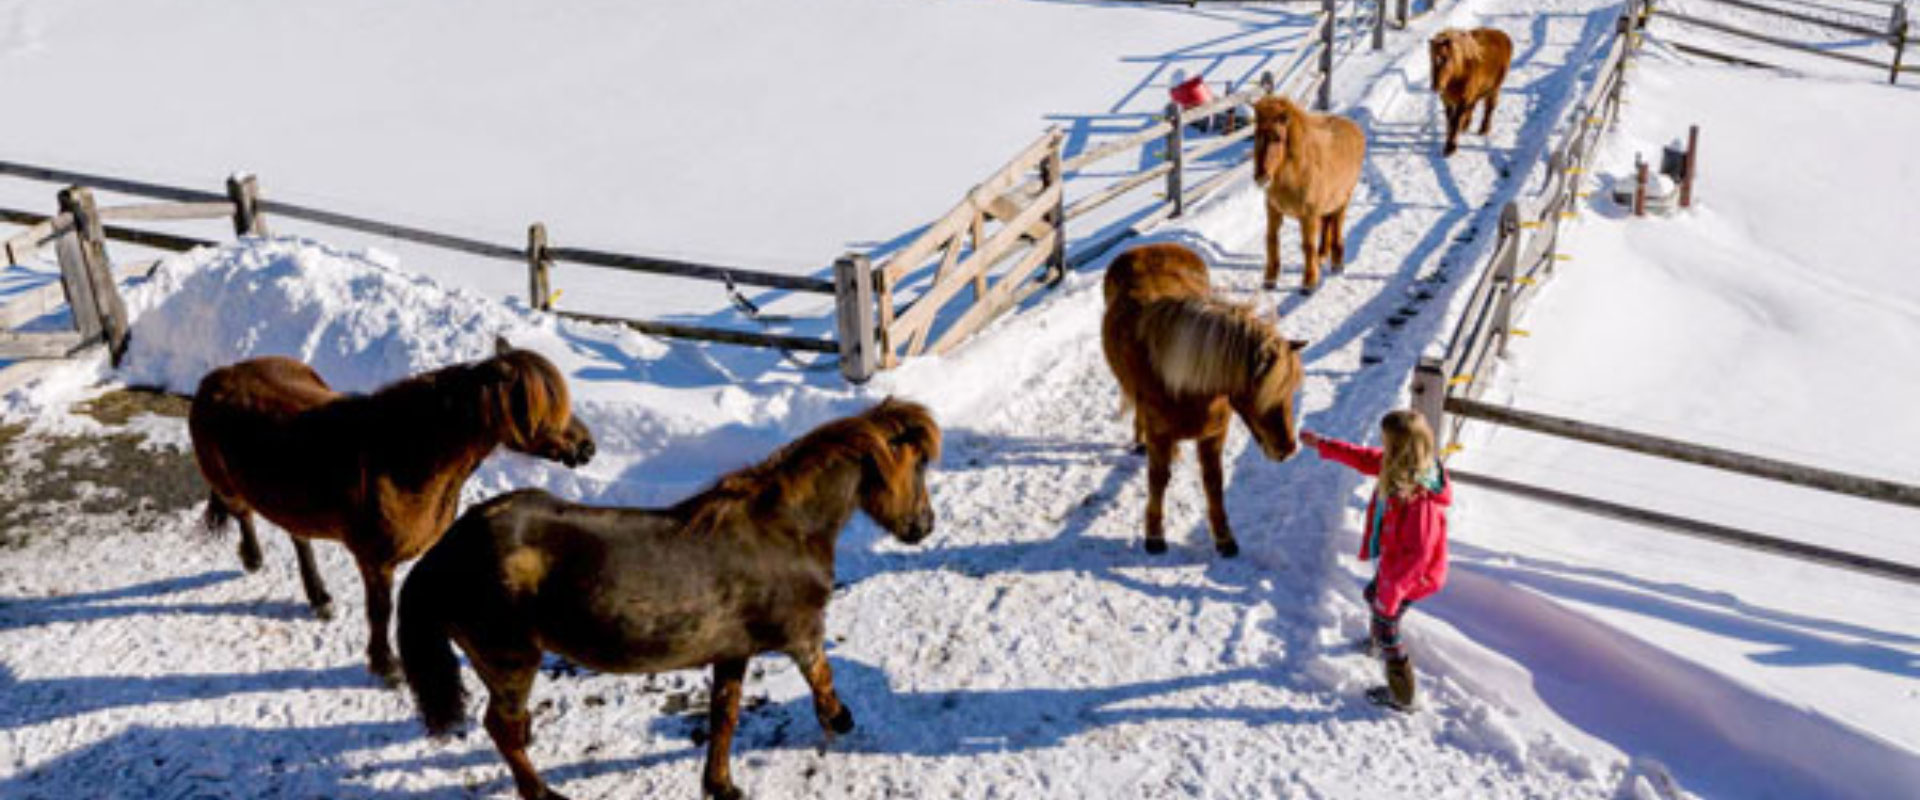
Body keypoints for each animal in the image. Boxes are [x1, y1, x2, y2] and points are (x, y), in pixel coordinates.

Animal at [188, 336, 595, 684]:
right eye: (543, 408)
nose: (587, 447)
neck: (401, 455)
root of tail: (220, 374)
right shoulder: (375, 560)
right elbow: (380, 611)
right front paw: (387, 666)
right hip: (231, 486)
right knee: (244, 513)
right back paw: (254, 558)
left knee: (297, 535)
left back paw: (318, 597)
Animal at [397, 398, 940, 800]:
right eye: (916, 466)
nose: (924, 527)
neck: (786, 529)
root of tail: (445, 552)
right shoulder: (802, 635)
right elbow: (822, 680)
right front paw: (839, 720)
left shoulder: (733, 653)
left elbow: (724, 717)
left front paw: (721, 785)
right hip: (511, 661)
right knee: (500, 727)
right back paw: (544, 793)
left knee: (508, 730)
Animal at [1101, 243, 1307, 557]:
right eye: (1264, 392)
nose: (1288, 449)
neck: (1184, 383)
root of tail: (1146, 246)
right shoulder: (1160, 435)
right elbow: (1158, 479)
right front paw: (1154, 535)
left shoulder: (1213, 434)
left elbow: (1214, 482)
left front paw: (1224, 538)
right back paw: (1138, 440)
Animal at [1252, 95, 1367, 294]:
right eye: (1255, 135)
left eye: (1278, 138)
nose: (1261, 177)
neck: (1296, 172)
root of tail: (1354, 127)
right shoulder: (1274, 211)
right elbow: (1272, 240)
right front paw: (1270, 280)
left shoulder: (1308, 215)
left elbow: (1307, 246)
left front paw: (1309, 283)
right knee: (1327, 225)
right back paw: (1322, 256)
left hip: (1343, 200)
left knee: (1337, 227)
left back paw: (1337, 264)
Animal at [1429, 27, 1514, 156]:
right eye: (1432, 59)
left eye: (1446, 59)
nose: (1436, 86)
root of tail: (1503, 35)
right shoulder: (1447, 100)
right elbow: (1451, 121)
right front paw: (1451, 142)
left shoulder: (1463, 100)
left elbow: (1455, 122)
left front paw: (1450, 147)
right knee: (1473, 106)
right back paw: (1466, 125)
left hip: (1494, 88)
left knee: (1489, 108)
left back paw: (1484, 129)